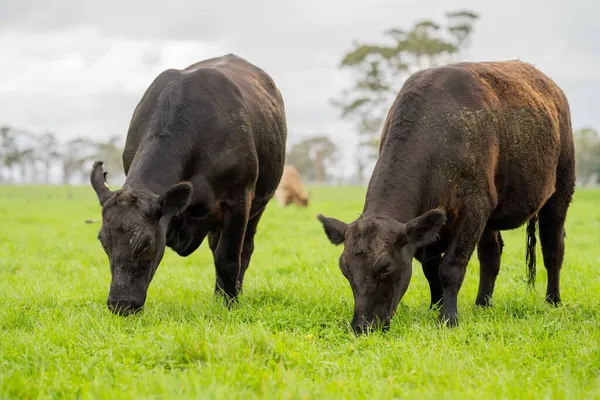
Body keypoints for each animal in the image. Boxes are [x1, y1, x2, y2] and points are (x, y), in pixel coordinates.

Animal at [89, 54, 288, 316]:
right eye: (104, 241)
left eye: (146, 243)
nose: (120, 304)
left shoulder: (238, 201)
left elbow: (228, 257)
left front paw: (230, 305)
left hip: (259, 206)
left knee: (244, 250)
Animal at [316, 59, 576, 334]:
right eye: (345, 269)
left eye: (385, 268)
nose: (362, 326)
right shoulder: (431, 225)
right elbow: (430, 268)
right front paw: (435, 306)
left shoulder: (474, 208)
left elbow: (450, 267)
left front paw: (448, 318)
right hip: (491, 215)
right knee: (491, 255)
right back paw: (482, 304)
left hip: (560, 191)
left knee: (553, 248)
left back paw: (553, 300)